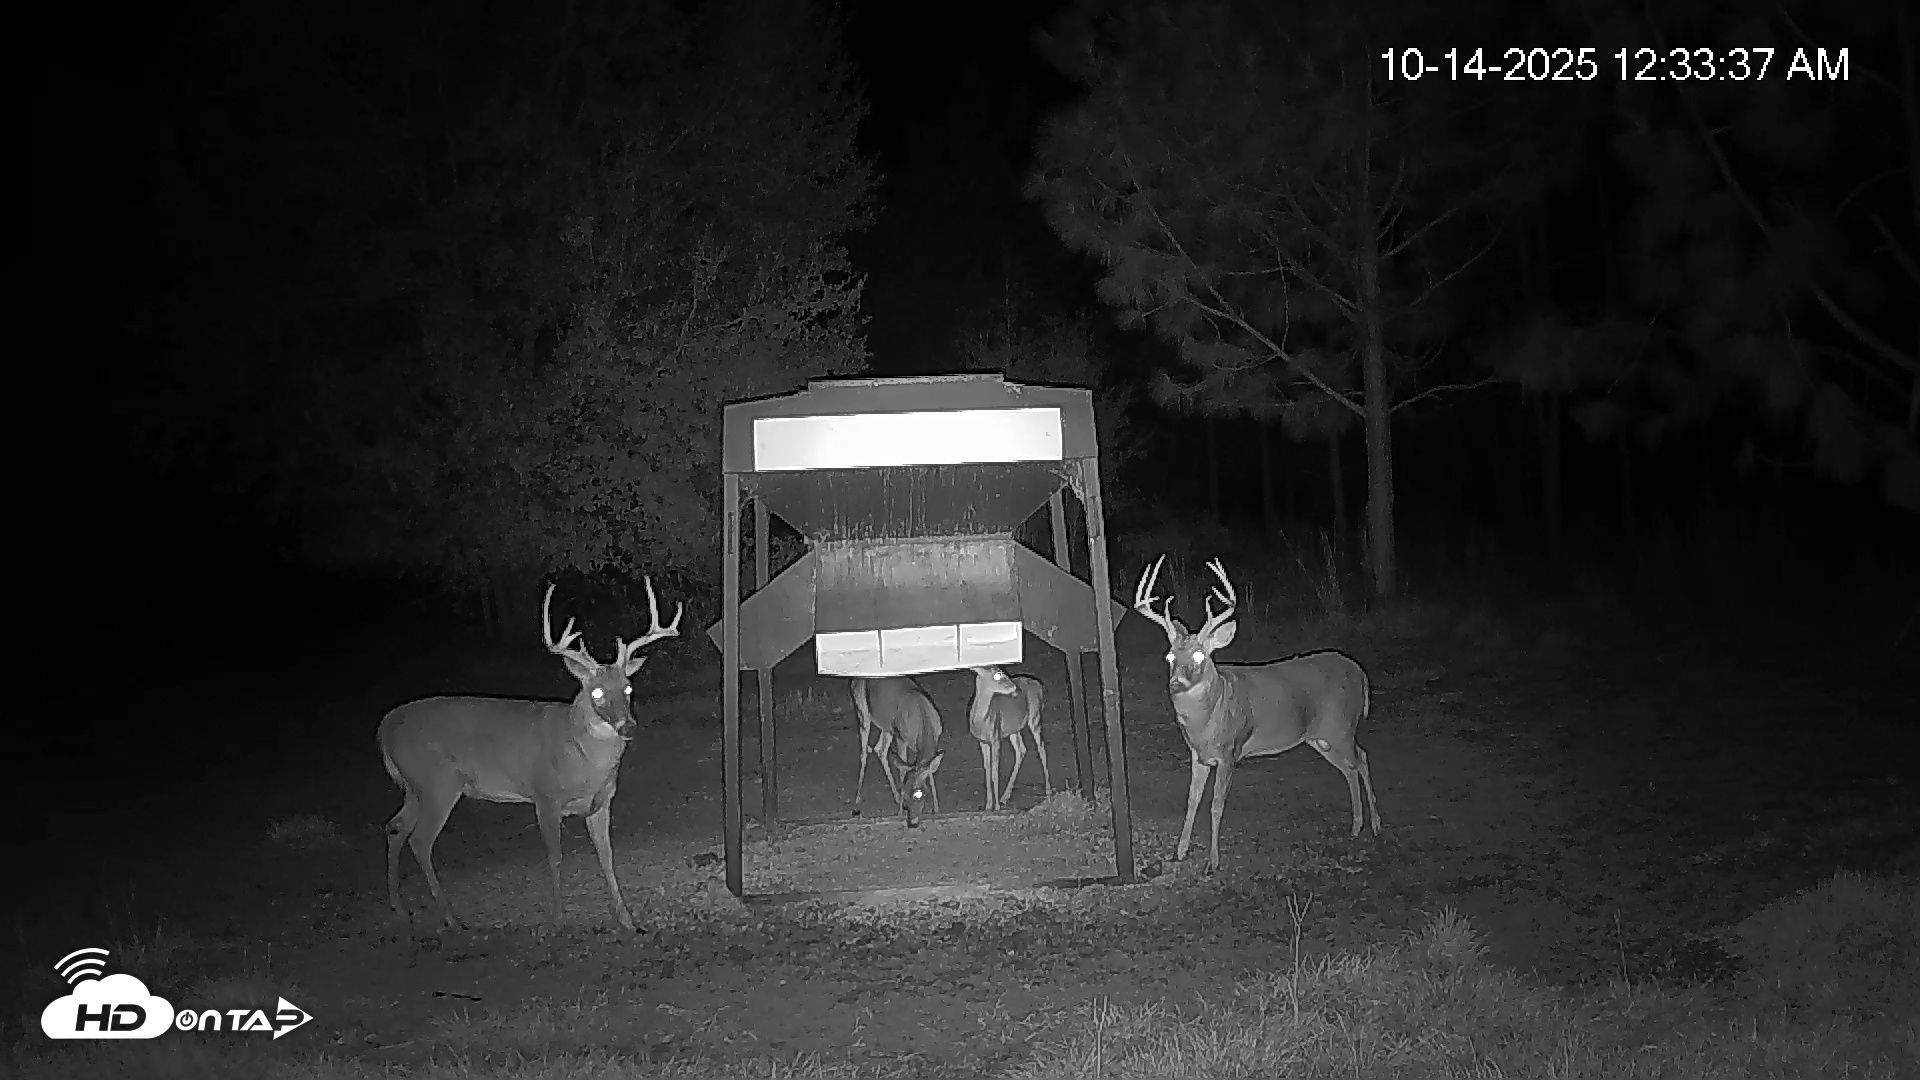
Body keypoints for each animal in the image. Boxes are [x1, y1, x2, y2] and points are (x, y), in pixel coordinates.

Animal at [378, 577, 682, 933]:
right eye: (596, 692)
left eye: (628, 688)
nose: (628, 726)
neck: (582, 758)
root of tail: (386, 725)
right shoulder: (545, 796)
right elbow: (555, 856)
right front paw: (558, 919)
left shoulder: (601, 803)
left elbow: (607, 858)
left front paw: (628, 920)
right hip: (438, 783)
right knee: (420, 840)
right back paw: (451, 918)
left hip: (415, 787)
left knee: (395, 827)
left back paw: (400, 909)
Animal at [849, 675, 946, 827]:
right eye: (905, 794)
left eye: (920, 794)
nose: (912, 823)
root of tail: (854, 679)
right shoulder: (900, 738)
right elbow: (902, 771)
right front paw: (900, 811)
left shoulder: (934, 742)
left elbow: (929, 772)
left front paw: (936, 809)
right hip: (863, 712)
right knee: (864, 753)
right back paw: (857, 801)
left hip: (887, 727)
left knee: (880, 749)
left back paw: (894, 796)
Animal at [967, 666, 1051, 811]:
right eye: (997, 675)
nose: (1016, 688)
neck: (981, 722)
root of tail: (1040, 685)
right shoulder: (982, 742)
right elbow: (987, 771)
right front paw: (988, 805)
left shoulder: (996, 738)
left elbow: (995, 772)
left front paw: (996, 807)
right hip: (1014, 729)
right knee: (1021, 750)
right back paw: (1005, 796)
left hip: (1035, 717)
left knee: (1041, 748)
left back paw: (1048, 790)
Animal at [1133, 555, 1380, 873]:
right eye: (1170, 656)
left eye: (1200, 655)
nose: (1176, 683)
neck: (1209, 718)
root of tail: (1360, 673)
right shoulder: (1198, 755)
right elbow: (1191, 800)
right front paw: (1181, 851)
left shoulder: (1230, 751)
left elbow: (1216, 804)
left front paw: (1212, 862)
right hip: (1321, 737)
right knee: (1349, 767)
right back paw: (1356, 826)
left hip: (1341, 726)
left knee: (1361, 757)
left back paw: (1375, 825)